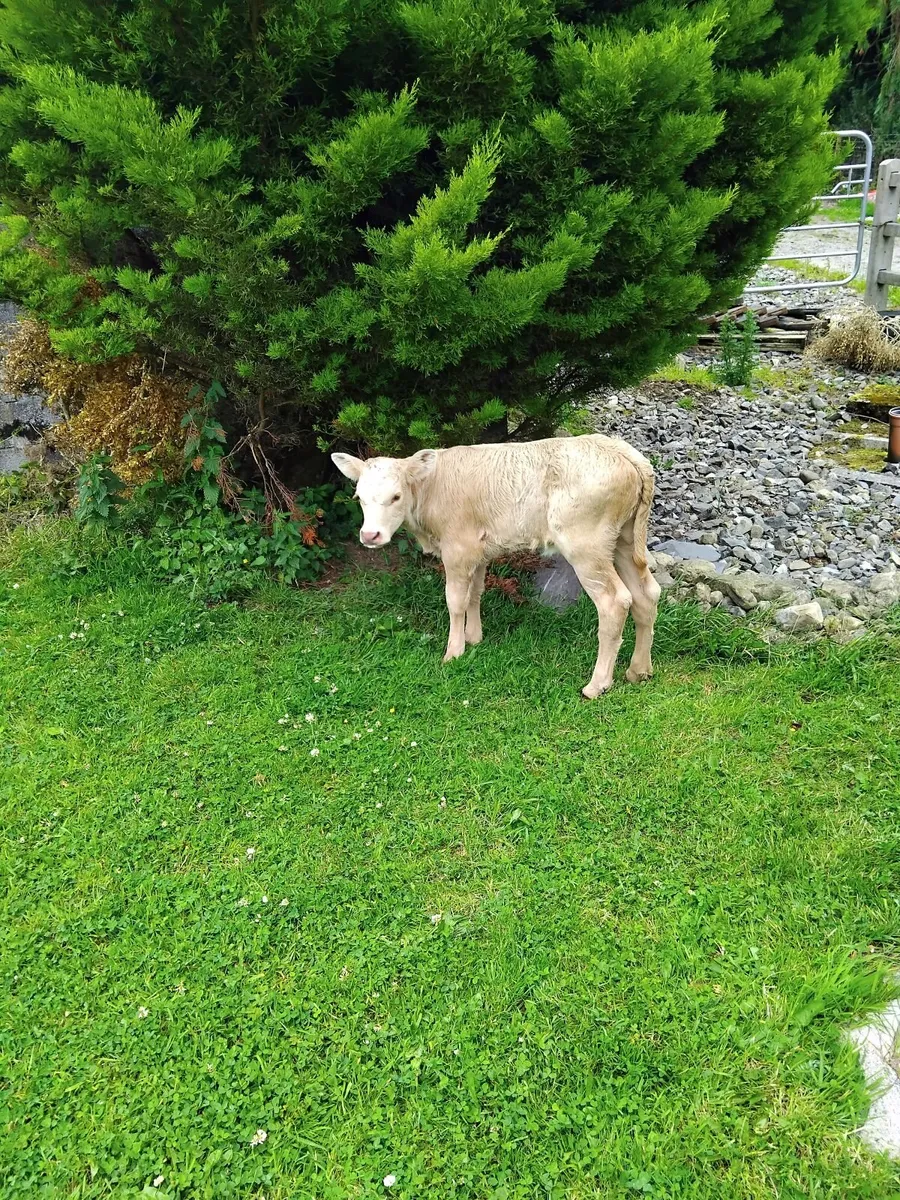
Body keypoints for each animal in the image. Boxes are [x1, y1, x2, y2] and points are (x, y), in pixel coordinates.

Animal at [332, 434, 660, 698]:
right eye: (359, 497)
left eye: (396, 496)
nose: (370, 535)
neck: (431, 487)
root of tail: (620, 450)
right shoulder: (478, 549)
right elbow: (475, 592)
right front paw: (473, 638)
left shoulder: (458, 548)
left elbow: (455, 600)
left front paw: (454, 652)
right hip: (623, 539)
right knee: (646, 594)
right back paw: (639, 671)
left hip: (586, 545)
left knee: (615, 601)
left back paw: (597, 684)